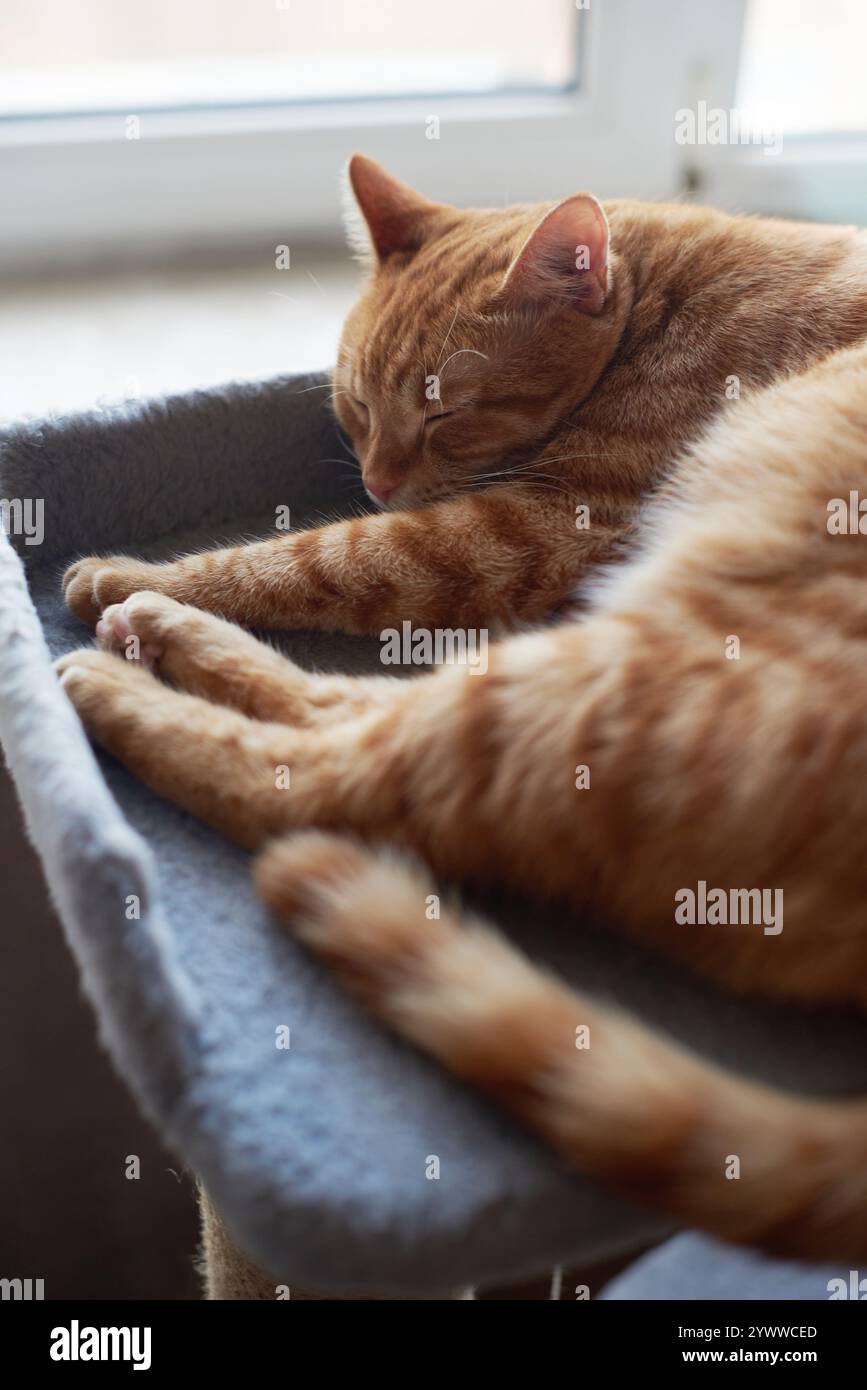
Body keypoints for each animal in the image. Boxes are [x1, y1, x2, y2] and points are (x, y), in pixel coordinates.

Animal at [57, 157, 867, 1267]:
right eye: (357, 407)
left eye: (448, 415)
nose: (376, 479)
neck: (656, 306)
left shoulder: (522, 529)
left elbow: (320, 556)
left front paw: (138, 570)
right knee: (342, 710)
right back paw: (162, 641)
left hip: (625, 683)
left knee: (323, 783)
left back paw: (128, 658)